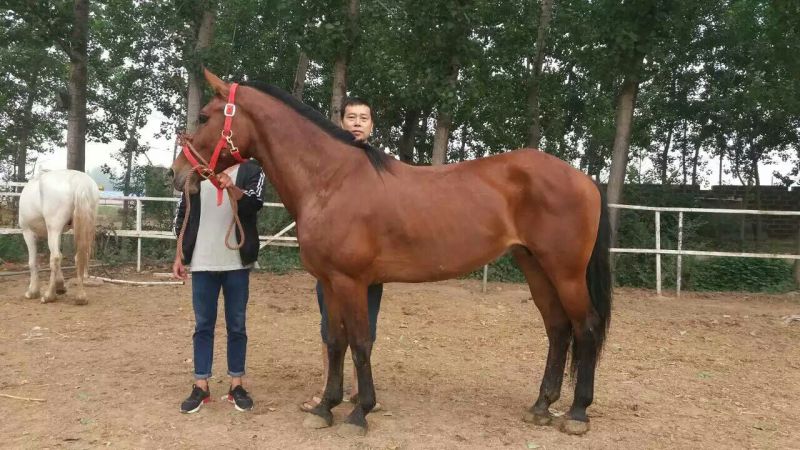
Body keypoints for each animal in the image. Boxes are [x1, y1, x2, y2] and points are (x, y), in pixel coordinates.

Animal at [18, 169, 100, 305]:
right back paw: (81, 297)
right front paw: (60, 286)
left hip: (53, 228)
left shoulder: (28, 232)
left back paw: (49, 296)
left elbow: (33, 262)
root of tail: (79, 180)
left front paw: (33, 291)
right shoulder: (58, 233)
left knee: (55, 258)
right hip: (84, 227)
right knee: (79, 257)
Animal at [171, 69, 612, 437]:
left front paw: (359, 413)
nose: (177, 173)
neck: (331, 180)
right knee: (558, 329)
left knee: (585, 328)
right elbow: (336, 341)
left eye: (205, 116)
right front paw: (326, 408)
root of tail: (585, 179)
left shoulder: (351, 282)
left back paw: (577, 413)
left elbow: (361, 342)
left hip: (565, 271)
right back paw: (541, 406)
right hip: (534, 265)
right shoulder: (329, 282)